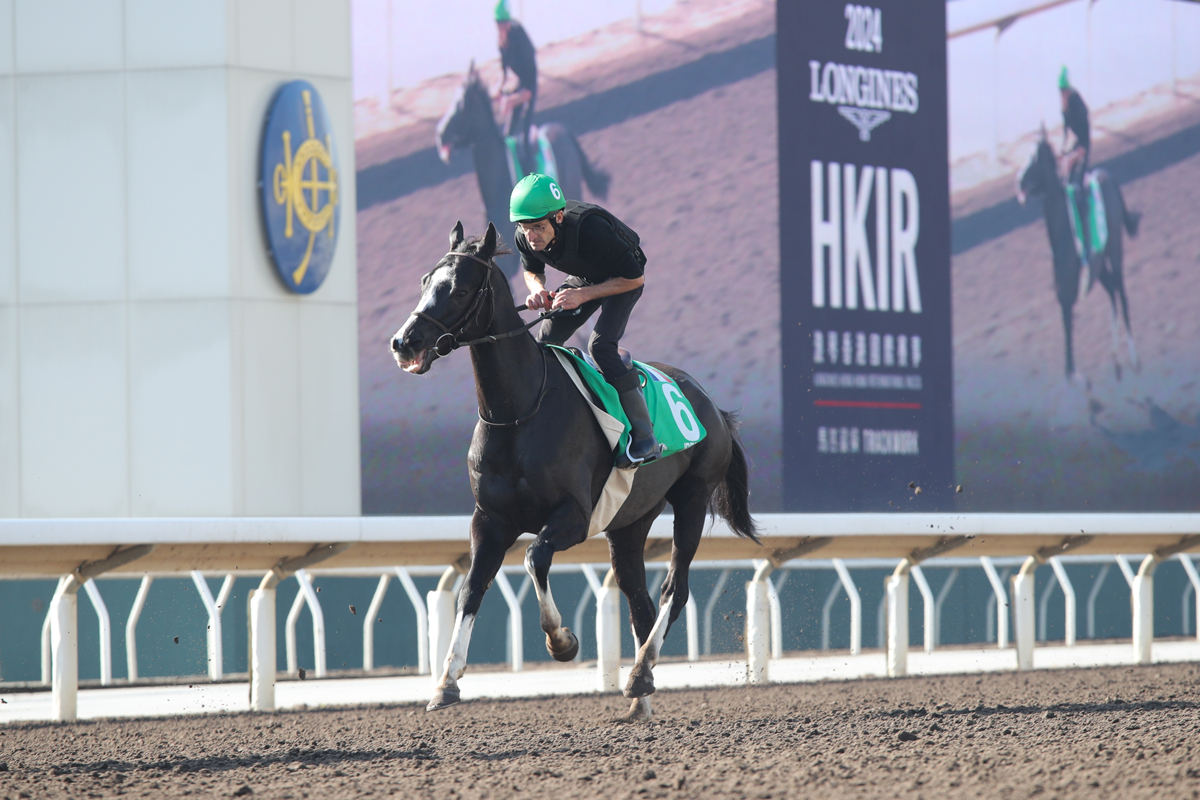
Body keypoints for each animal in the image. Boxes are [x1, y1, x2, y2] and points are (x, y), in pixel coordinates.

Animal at [388, 221, 753, 724]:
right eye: (425, 281)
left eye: (459, 288)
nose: (405, 342)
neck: (518, 414)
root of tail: (712, 406)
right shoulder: (489, 520)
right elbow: (471, 589)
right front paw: (446, 682)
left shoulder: (574, 516)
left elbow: (534, 558)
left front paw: (562, 642)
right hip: (630, 525)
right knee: (640, 602)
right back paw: (640, 695)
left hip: (693, 500)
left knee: (672, 592)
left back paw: (641, 674)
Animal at [1022, 131, 1142, 381]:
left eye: (1035, 158)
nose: (1019, 183)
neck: (1063, 234)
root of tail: (1106, 175)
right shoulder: (1063, 296)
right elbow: (1067, 338)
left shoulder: (1068, 296)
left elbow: (1069, 347)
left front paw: (1080, 382)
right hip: (1100, 267)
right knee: (1112, 292)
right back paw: (1116, 360)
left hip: (1115, 251)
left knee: (1122, 294)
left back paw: (1134, 358)